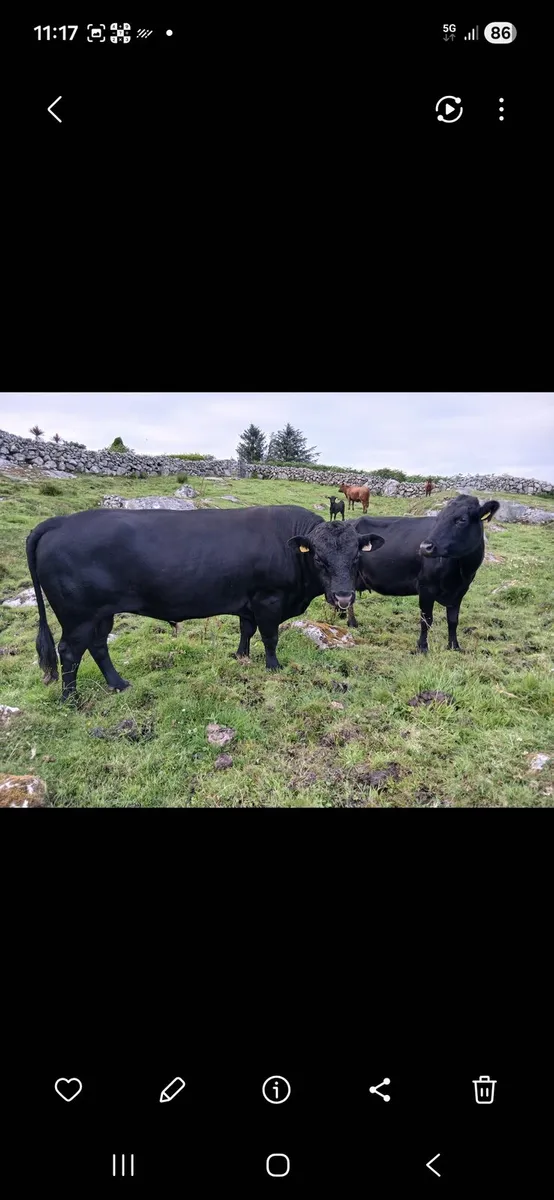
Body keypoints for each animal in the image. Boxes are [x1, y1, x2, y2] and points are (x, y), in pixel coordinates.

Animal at [26, 505, 385, 700]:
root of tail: (60, 521)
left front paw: (240, 656)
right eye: (320, 559)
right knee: (69, 652)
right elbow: (270, 637)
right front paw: (273, 666)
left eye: (355, 557)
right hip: (78, 616)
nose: (343, 596)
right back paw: (70, 699)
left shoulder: (249, 601)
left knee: (98, 646)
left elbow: (246, 630)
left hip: (102, 614)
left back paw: (119, 684)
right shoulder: (268, 599)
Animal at [345, 494, 500, 650]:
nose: (425, 547)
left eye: (462, 519)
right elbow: (426, 620)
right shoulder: (426, 587)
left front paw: (454, 646)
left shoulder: (460, 591)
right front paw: (423, 647)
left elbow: (453, 620)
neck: (460, 573)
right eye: (438, 519)